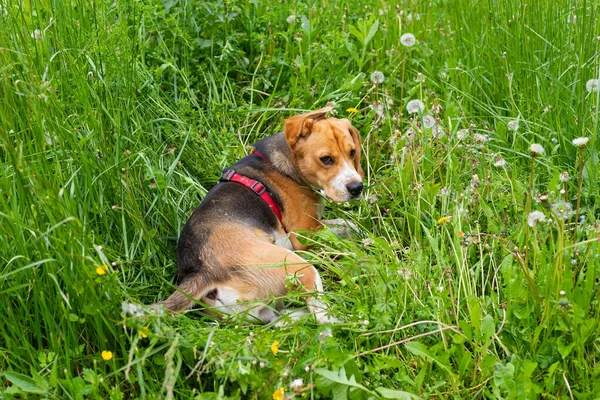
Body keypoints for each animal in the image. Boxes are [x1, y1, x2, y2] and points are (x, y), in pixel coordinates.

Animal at [157, 107, 364, 324]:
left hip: (259, 311)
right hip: (299, 266)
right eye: (326, 159)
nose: (357, 187)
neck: (284, 164)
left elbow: (347, 225)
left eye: (352, 152)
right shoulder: (304, 232)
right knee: (321, 316)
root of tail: (203, 271)